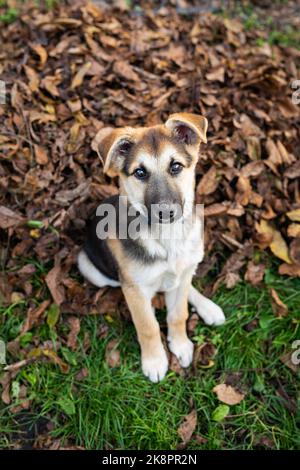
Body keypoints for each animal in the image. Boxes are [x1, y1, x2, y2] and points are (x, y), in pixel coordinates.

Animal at [78, 113, 225, 382]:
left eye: (175, 166)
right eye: (139, 172)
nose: (166, 212)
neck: (166, 238)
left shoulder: (181, 275)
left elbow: (178, 314)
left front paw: (180, 344)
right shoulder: (135, 290)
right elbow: (148, 326)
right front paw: (155, 360)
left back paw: (208, 308)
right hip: (90, 268)